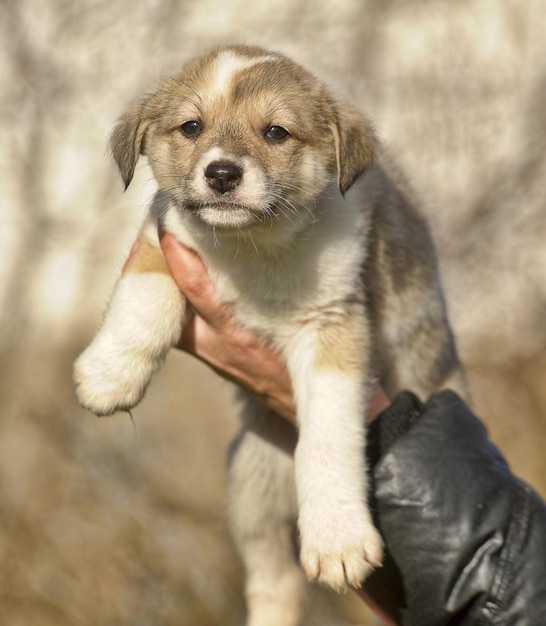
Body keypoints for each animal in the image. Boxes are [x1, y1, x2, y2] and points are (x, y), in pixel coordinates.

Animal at [73, 45, 468, 624]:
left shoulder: (334, 331)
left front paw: (338, 537)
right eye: (192, 126)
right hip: (251, 488)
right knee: (272, 579)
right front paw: (110, 375)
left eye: (276, 132)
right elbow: (141, 296)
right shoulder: (164, 235)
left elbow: (327, 438)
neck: (254, 246)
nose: (221, 174)